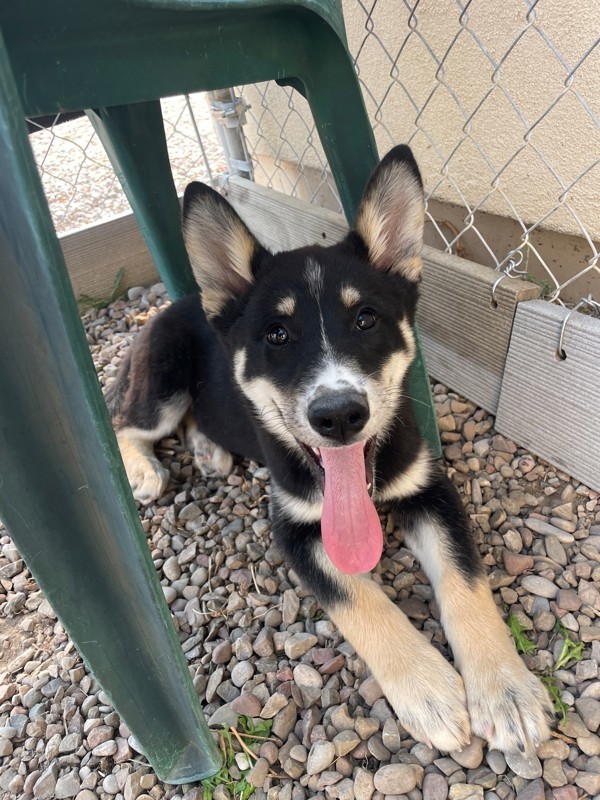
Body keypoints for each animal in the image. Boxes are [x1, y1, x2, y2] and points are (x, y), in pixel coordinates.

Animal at [105, 145, 552, 756]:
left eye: (365, 318)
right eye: (276, 334)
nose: (339, 415)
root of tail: (174, 305)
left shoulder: (429, 487)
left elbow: (466, 580)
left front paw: (507, 691)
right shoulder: (292, 526)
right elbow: (359, 600)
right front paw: (430, 692)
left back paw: (208, 450)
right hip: (164, 380)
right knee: (124, 421)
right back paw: (146, 471)